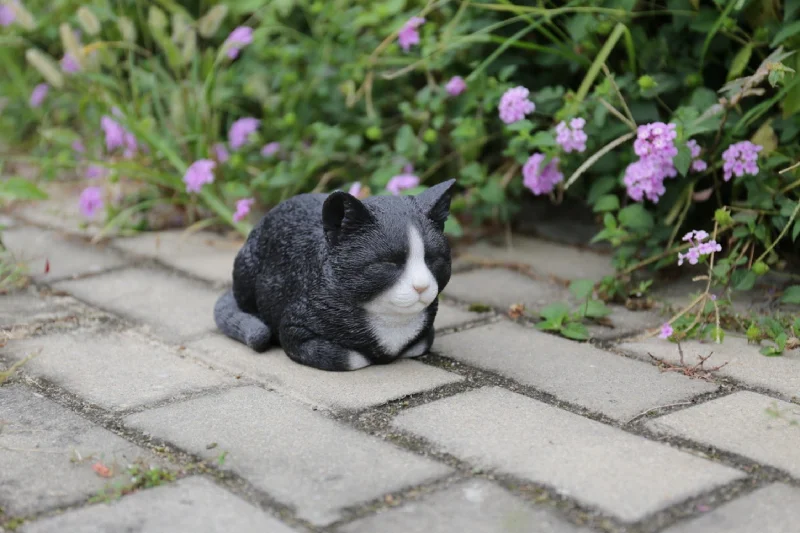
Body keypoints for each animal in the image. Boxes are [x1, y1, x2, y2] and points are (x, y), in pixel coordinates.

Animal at [214, 179, 456, 370]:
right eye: (389, 263)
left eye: (433, 259)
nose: (421, 286)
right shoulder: (293, 329)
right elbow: (352, 357)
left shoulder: (427, 333)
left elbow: (421, 343)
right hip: (246, 267)